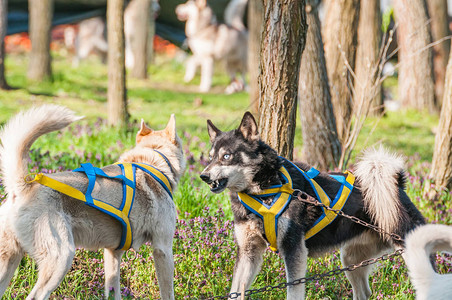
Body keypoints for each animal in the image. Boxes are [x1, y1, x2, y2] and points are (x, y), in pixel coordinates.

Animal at [0, 104, 185, 298]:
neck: (151, 162)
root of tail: (24, 186)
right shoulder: (163, 248)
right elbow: (168, 292)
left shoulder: (113, 252)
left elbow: (113, 290)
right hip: (61, 257)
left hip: (9, 260)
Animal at [200, 111, 426, 298]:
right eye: (210, 158)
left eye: (226, 156)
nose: (203, 176)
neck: (264, 192)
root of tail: (396, 183)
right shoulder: (248, 252)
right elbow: (235, 292)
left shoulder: (294, 250)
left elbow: (293, 292)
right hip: (351, 259)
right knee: (364, 292)